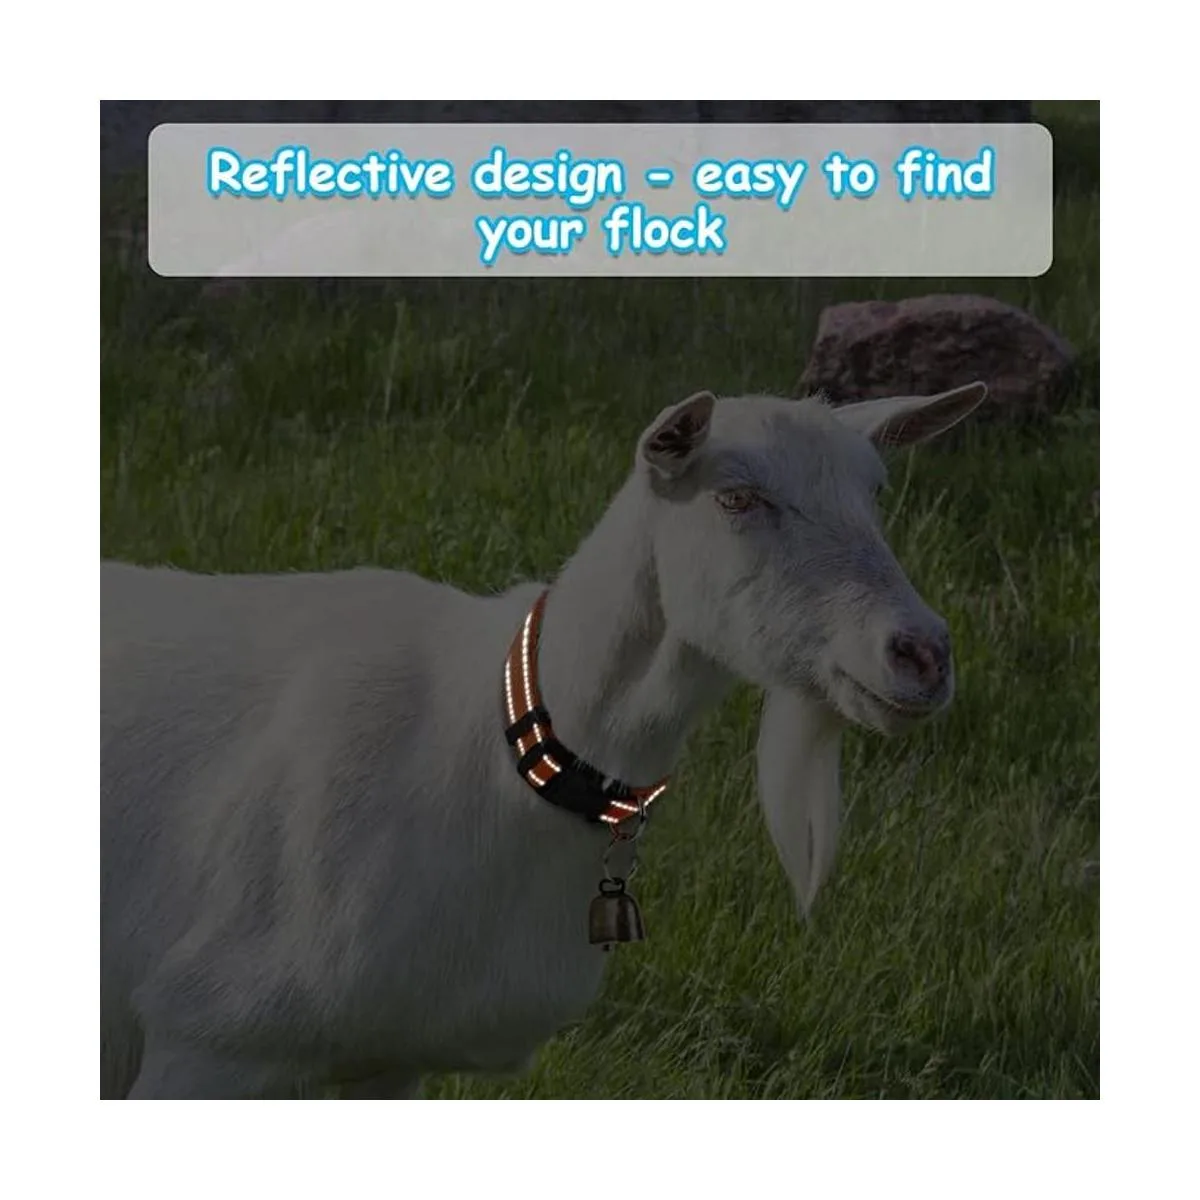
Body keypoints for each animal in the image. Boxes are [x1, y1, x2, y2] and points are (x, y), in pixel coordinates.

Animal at [101, 382, 987, 1098]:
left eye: (877, 492)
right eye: (736, 498)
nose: (921, 653)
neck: (485, 742)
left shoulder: (390, 1053)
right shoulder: (209, 1032)